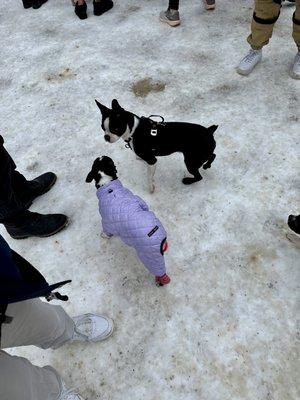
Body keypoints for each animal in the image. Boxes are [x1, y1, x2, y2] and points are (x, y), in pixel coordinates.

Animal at [86, 155, 171, 286]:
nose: (101, 155)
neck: (108, 184)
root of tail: (160, 236)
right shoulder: (138, 201)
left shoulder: (106, 220)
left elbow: (106, 230)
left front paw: (104, 235)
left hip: (149, 254)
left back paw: (160, 280)